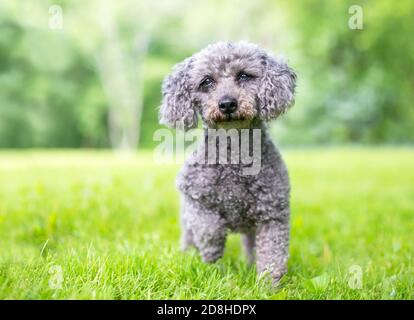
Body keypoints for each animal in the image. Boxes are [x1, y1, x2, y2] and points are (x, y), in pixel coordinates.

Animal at [159, 41, 298, 284]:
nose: (227, 104)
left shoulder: (273, 213)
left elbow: (273, 253)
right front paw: (212, 257)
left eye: (244, 75)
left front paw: (269, 285)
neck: (234, 159)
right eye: (206, 81)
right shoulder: (193, 196)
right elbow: (210, 229)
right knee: (189, 238)